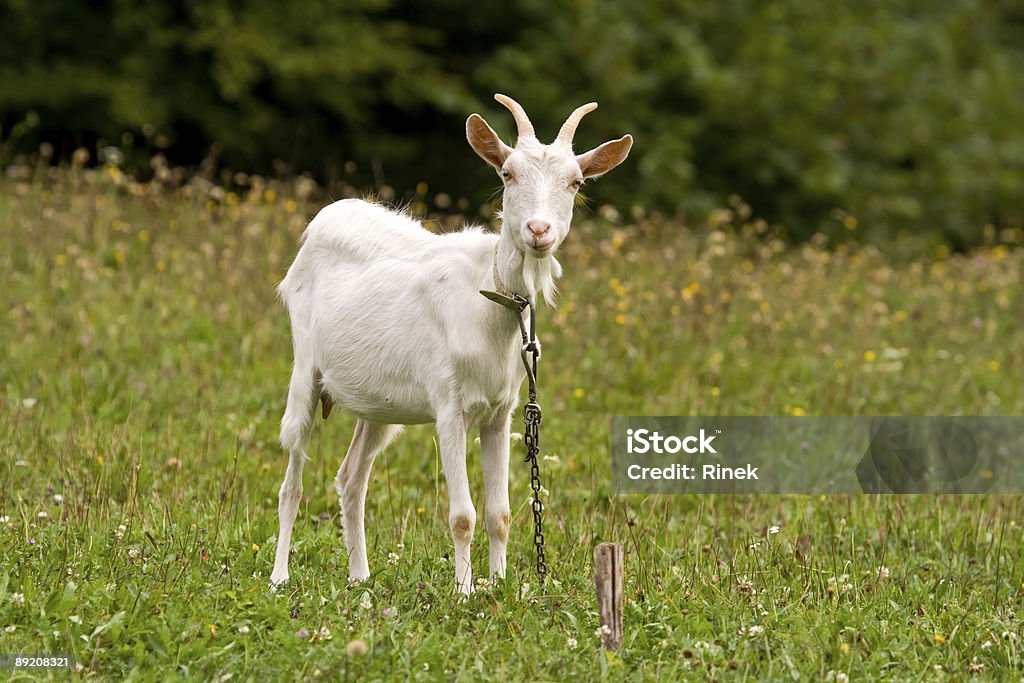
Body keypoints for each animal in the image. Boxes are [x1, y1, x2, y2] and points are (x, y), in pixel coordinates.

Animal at [272, 92, 630, 593]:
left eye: (575, 182)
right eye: (507, 173)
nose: (539, 231)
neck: (490, 300)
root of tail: (326, 216)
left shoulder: (501, 413)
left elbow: (499, 513)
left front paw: (500, 586)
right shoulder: (449, 406)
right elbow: (463, 515)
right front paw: (464, 592)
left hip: (377, 406)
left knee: (351, 478)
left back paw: (360, 578)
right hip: (305, 367)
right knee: (293, 479)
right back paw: (279, 577)